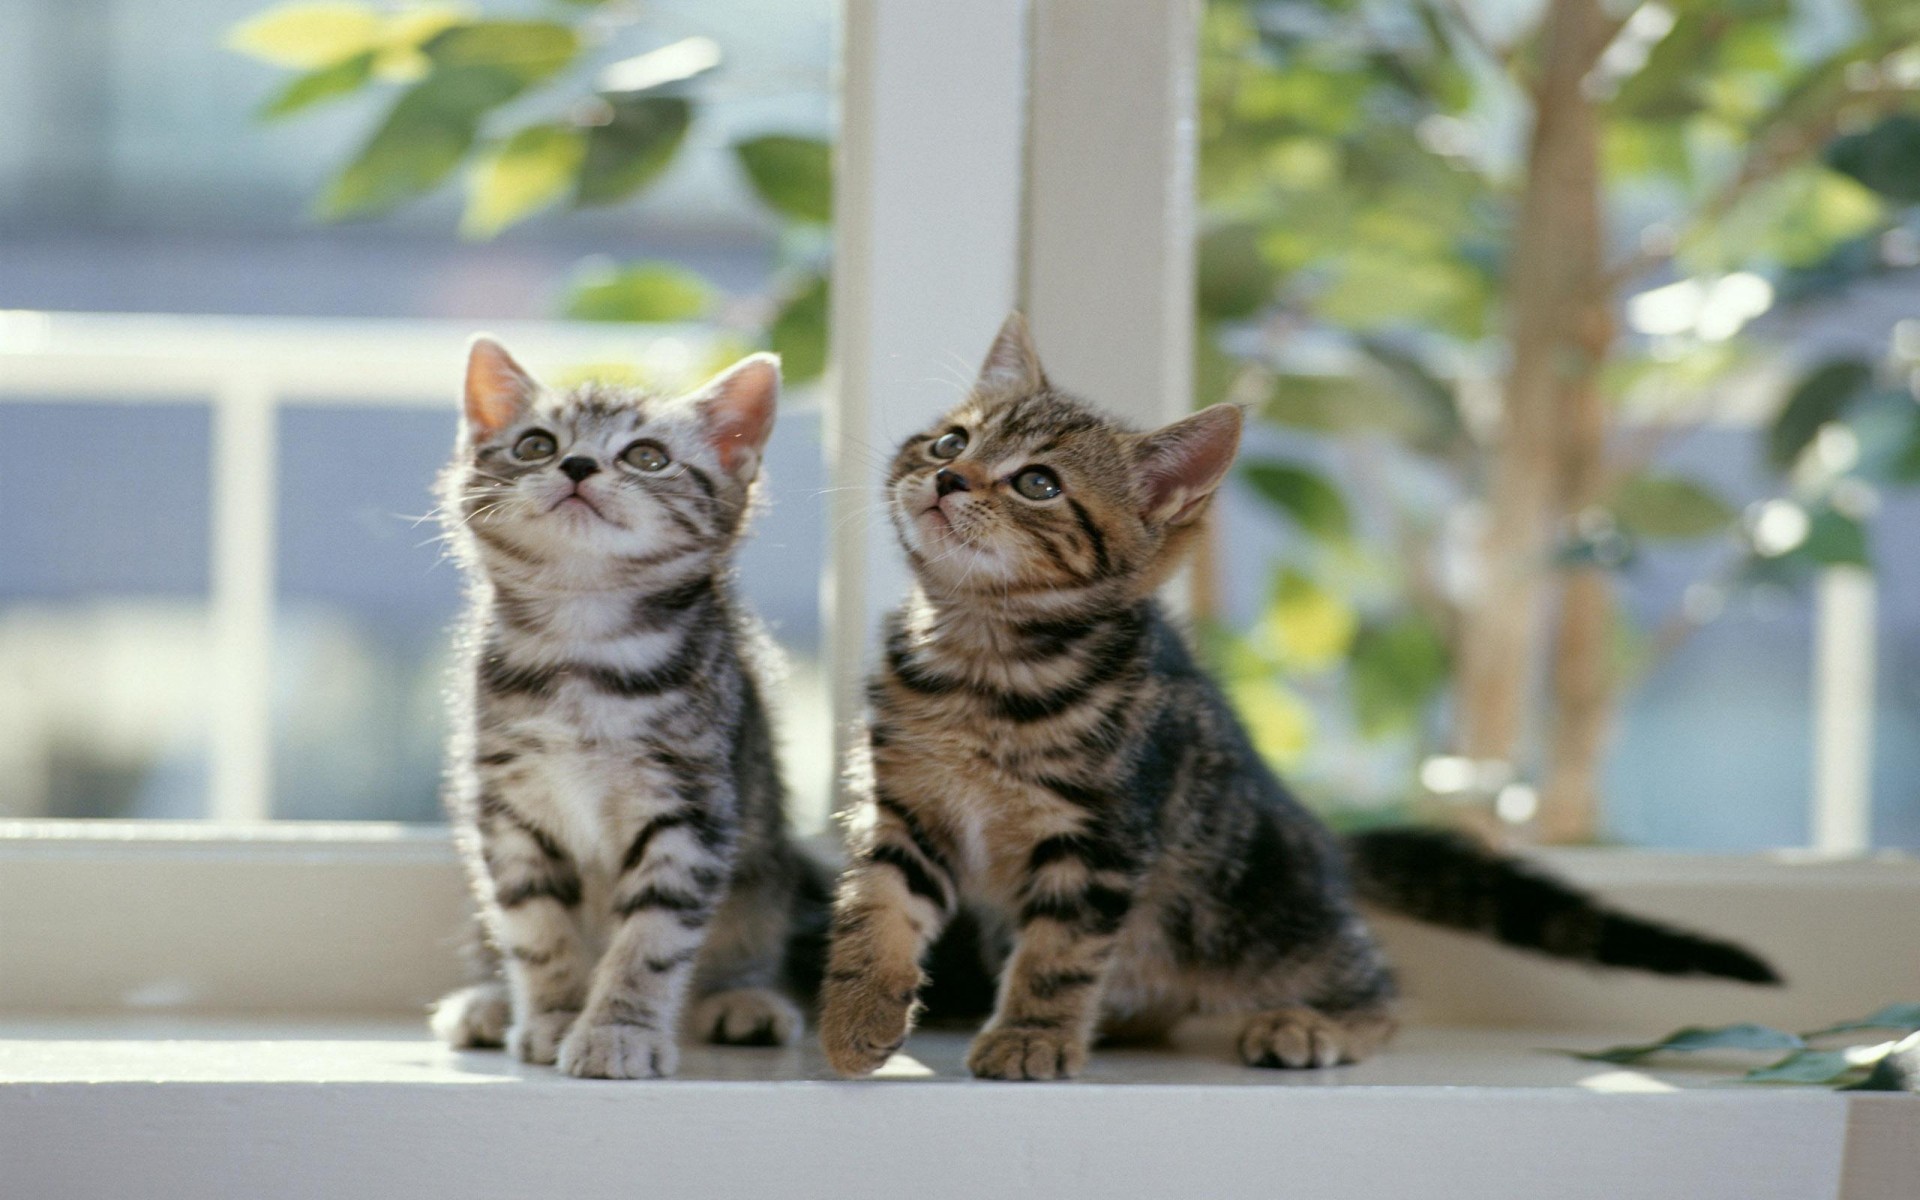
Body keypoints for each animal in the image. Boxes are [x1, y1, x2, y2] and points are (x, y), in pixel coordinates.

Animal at [428, 334, 817, 1075]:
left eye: (647, 456)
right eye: (536, 445)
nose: (577, 464)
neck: (585, 648)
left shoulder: (691, 811)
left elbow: (651, 938)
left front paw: (619, 1029)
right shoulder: (509, 811)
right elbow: (534, 925)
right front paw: (553, 1015)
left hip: (763, 866)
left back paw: (744, 998)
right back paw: (488, 1000)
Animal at [817, 312, 1774, 1082]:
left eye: (1037, 484)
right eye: (950, 443)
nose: (948, 481)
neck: (982, 662)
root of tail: (1326, 843)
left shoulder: (1102, 840)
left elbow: (1059, 953)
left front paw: (1032, 1034)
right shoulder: (905, 807)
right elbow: (877, 909)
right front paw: (857, 1015)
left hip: (1253, 916)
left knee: (1379, 982)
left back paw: (1315, 1024)